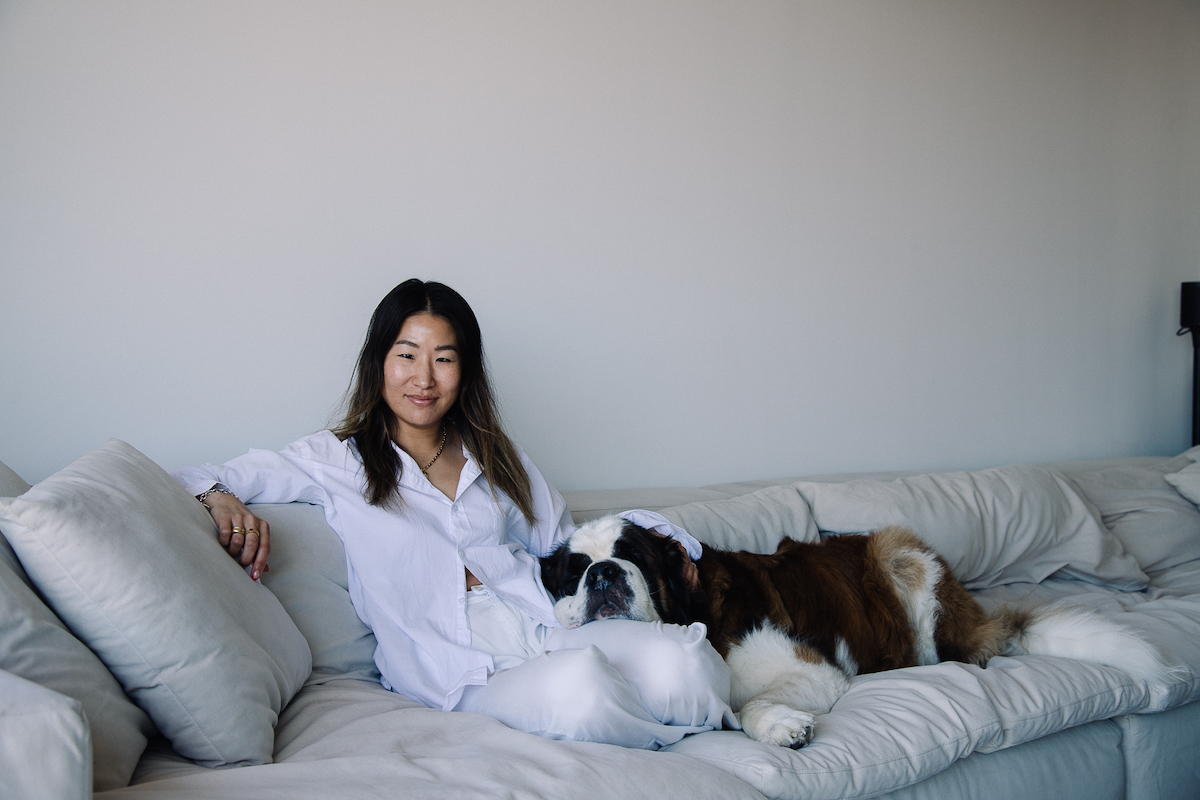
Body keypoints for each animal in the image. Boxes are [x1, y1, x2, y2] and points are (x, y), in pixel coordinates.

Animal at [542, 515, 1171, 748]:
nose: (603, 574)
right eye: (573, 575)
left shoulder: (811, 669)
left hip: (898, 552)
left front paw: (781, 725)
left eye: (633, 557)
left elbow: (748, 703)